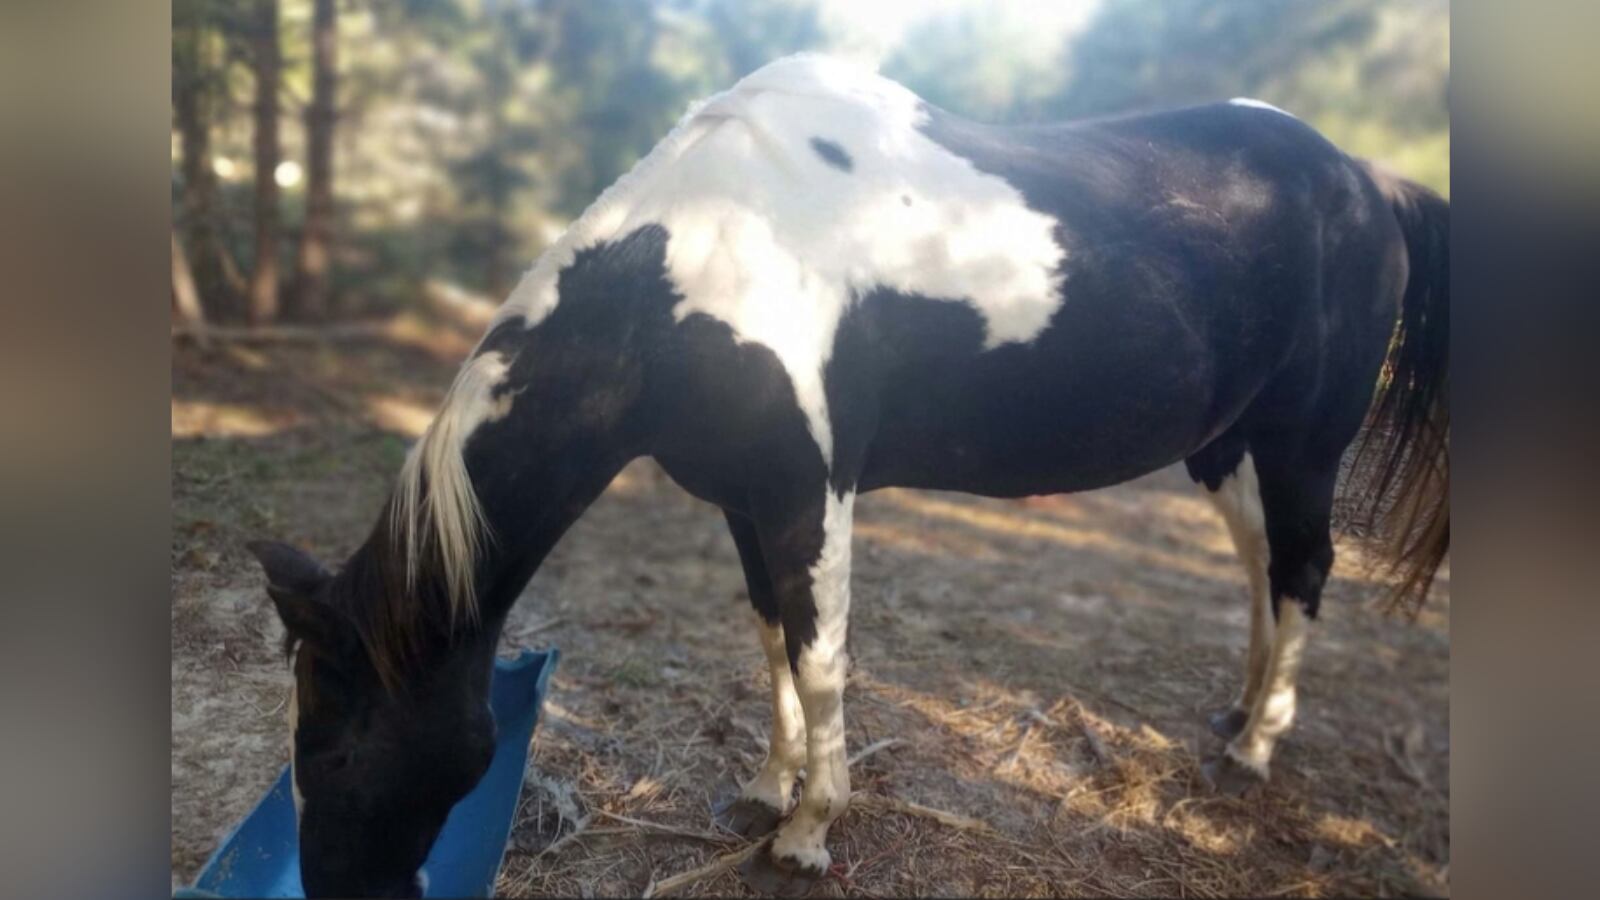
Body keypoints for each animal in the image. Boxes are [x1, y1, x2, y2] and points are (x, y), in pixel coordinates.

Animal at [246, 54, 1448, 897]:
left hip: (1302, 444)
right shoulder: (741, 500)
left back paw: (1253, 750)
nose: (340, 891)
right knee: (1261, 570)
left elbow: (821, 657)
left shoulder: (806, 496)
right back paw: (1234, 713)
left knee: (1304, 569)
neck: (703, 258)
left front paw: (810, 834)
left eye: (337, 753)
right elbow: (772, 638)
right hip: (1228, 449)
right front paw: (766, 792)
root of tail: (1367, 180)